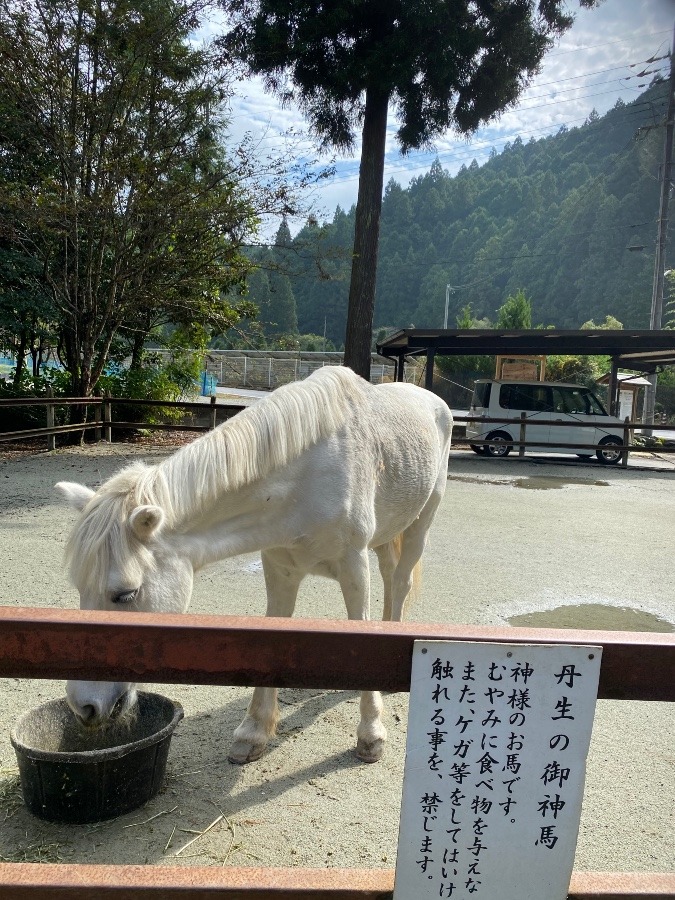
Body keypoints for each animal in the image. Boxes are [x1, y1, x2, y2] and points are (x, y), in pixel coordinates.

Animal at [55, 370, 452, 764]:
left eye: (126, 594)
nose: (84, 706)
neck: (303, 479)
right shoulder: (279, 567)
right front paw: (254, 733)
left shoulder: (353, 566)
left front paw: (371, 734)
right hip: (388, 531)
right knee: (390, 576)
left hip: (422, 522)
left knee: (400, 581)